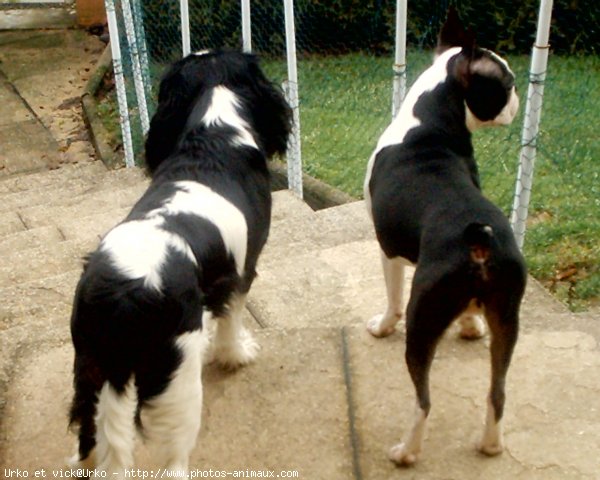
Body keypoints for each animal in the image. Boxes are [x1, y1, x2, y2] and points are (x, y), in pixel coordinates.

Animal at [67, 50, 290, 474]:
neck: (214, 134)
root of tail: (123, 292)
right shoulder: (242, 274)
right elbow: (231, 322)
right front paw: (237, 355)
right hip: (176, 376)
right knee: (173, 457)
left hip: (89, 363)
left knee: (89, 430)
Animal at [360, 7, 524, 464]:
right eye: (506, 83)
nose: (518, 97)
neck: (430, 120)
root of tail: (480, 241)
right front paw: (469, 325)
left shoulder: (389, 251)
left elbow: (392, 298)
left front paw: (381, 326)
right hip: (508, 318)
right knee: (498, 391)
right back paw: (490, 444)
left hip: (423, 318)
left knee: (424, 400)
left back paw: (406, 452)